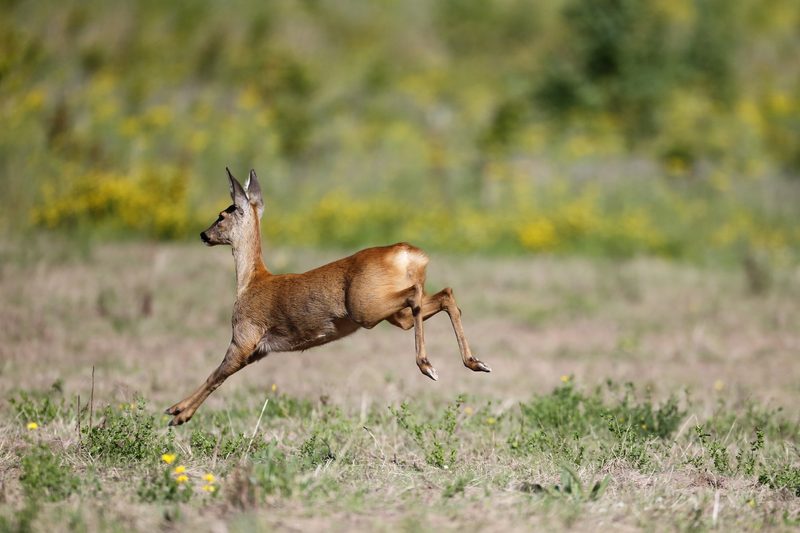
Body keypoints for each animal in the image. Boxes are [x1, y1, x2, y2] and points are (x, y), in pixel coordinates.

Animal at [165, 168, 491, 426]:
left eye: (222, 215)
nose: (203, 234)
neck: (250, 282)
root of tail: (410, 254)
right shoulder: (259, 351)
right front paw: (177, 411)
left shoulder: (245, 338)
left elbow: (217, 374)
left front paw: (177, 413)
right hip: (393, 315)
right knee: (443, 295)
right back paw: (475, 362)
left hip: (365, 308)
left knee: (416, 295)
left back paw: (428, 365)